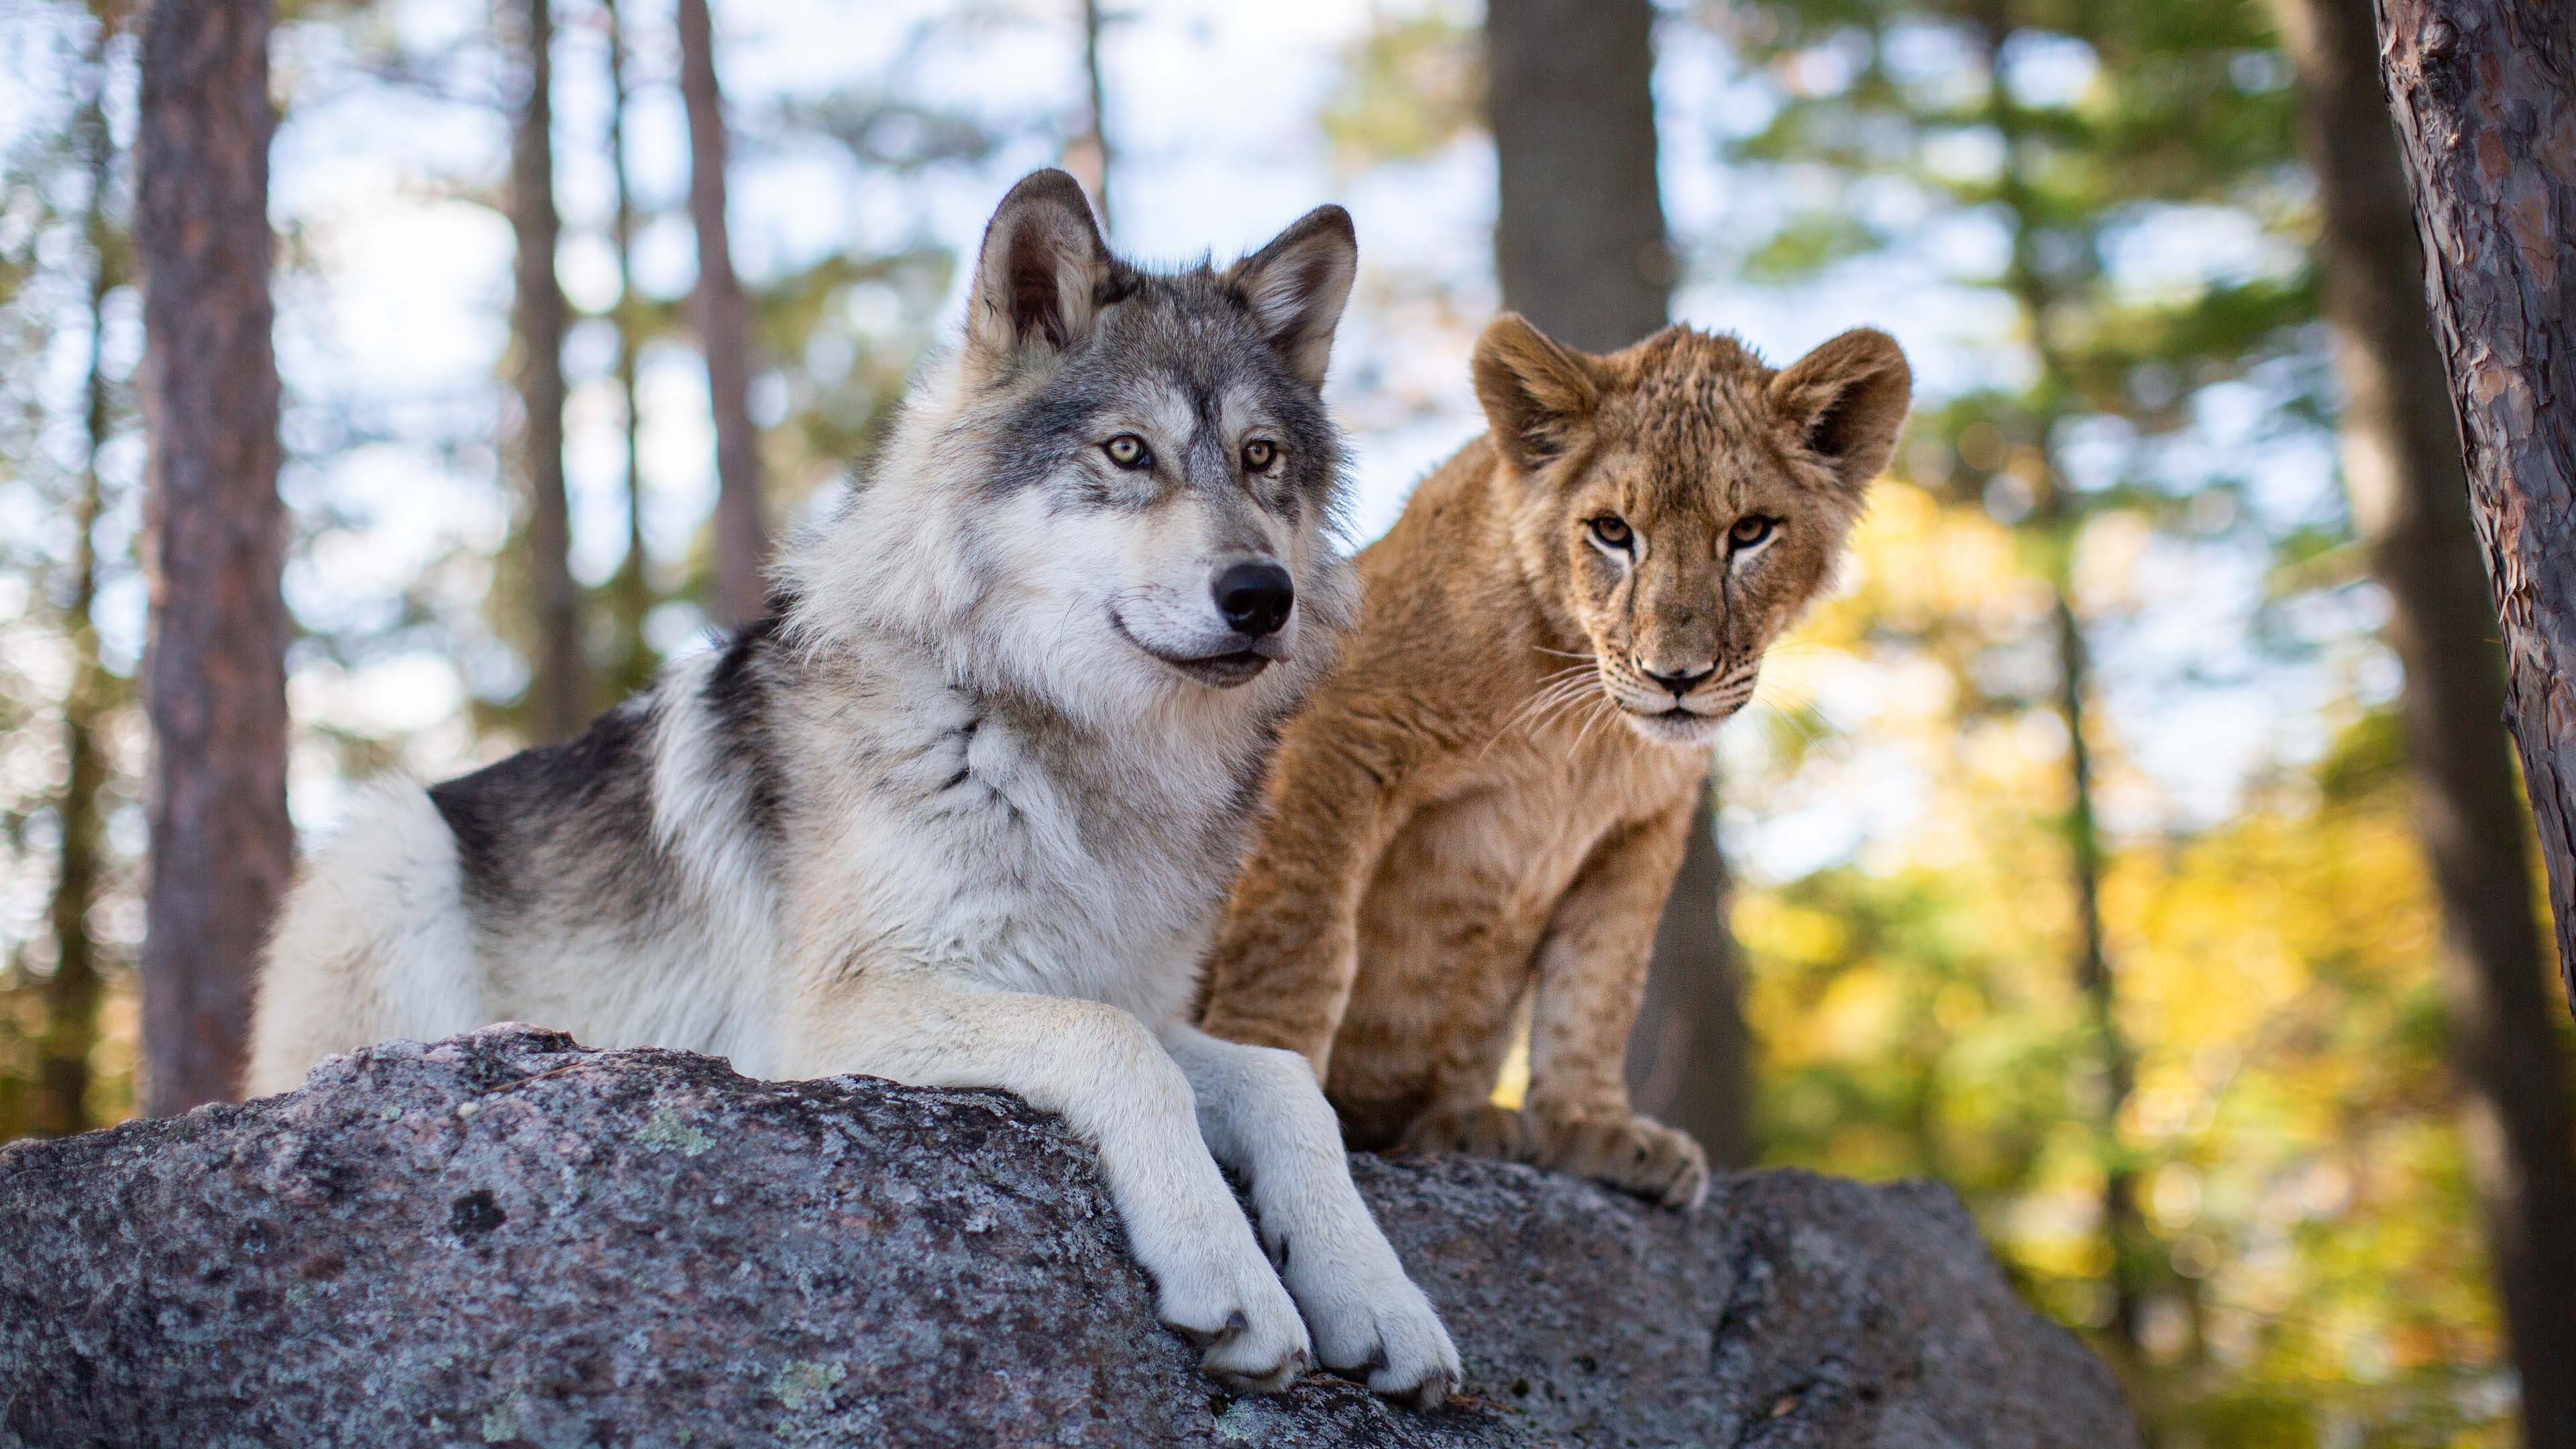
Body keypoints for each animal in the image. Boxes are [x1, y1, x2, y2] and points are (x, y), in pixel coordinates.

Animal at [261, 168, 1473, 1402]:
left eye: (1262, 458)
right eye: (1130, 452)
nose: (1263, 596)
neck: (1063, 747)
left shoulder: (1113, 987)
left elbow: (1285, 1083)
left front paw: (1376, 1297)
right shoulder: (830, 1022)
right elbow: (1116, 1050)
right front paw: (1230, 1274)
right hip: (390, 846)